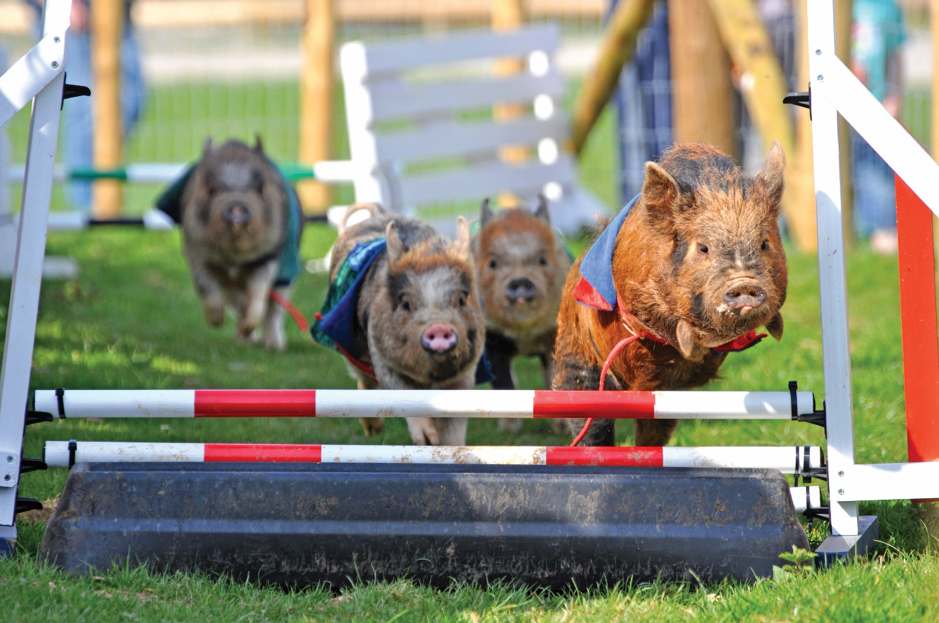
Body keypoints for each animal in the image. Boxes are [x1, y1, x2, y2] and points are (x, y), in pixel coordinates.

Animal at [312, 202, 488, 446]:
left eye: (462, 299)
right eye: (405, 303)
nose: (439, 327)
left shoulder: (465, 373)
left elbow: (454, 427)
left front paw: (443, 445)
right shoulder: (380, 354)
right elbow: (399, 392)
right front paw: (426, 439)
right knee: (363, 382)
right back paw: (373, 431)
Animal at [470, 197, 572, 432]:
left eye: (543, 260)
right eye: (492, 263)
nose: (520, 280)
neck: (524, 334)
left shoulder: (553, 335)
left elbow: (552, 377)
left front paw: (562, 429)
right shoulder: (491, 340)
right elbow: (503, 382)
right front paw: (509, 430)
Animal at [556, 140, 788, 448]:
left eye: (763, 243)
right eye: (702, 247)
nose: (744, 283)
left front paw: (776, 329)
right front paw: (690, 344)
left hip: (665, 401)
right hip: (578, 357)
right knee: (589, 419)